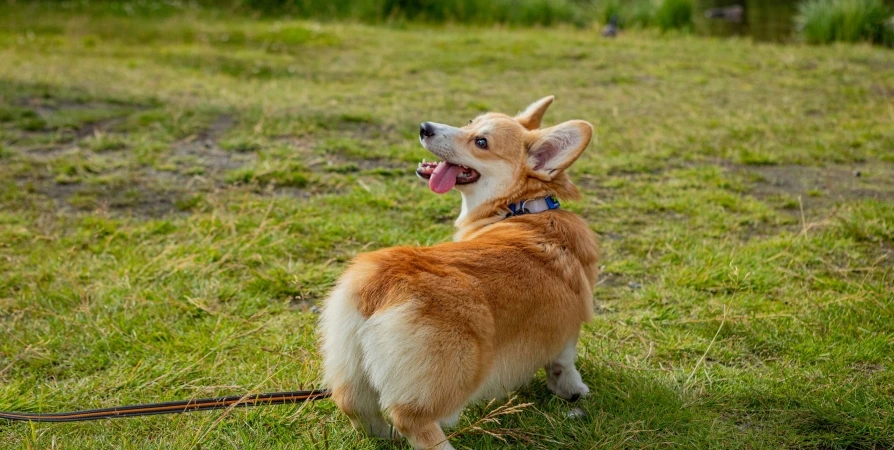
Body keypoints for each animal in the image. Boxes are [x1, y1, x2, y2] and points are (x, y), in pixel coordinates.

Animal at [322, 96, 600, 448]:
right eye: (470, 121)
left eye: (481, 142)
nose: (424, 127)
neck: (522, 206)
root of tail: (380, 282)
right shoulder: (567, 326)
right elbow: (564, 359)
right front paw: (572, 389)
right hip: (455, 375)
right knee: (414, 421)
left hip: (352, 365)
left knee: (357, 406)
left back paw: (386, 436)